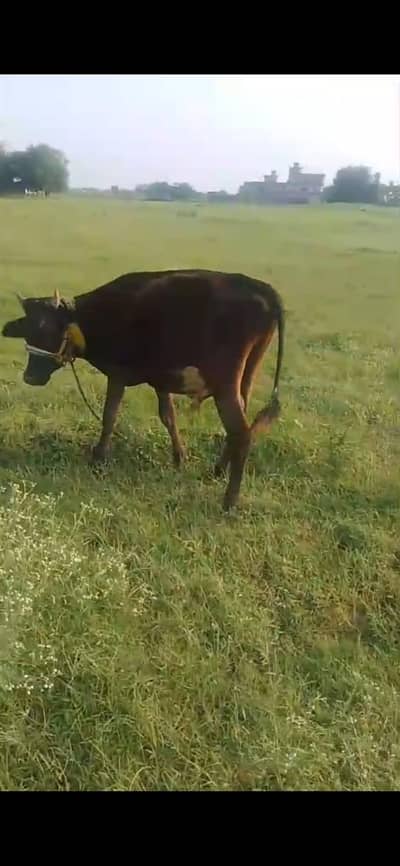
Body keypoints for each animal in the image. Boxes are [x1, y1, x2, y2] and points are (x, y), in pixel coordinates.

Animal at [2, 270, 284, 510]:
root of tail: (259, 286)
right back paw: (218, 470)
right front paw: (179, 457)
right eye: (28, 331)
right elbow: (168, 417)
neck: (96, 316)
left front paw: (98, 458)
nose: (30, 377)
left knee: (242, 433)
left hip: (225, 384)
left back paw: (229, 501)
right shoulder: (161, 380)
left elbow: (109, 416)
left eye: (51, 330)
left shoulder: (117, 374)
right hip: (244, 377)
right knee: (240, 428)